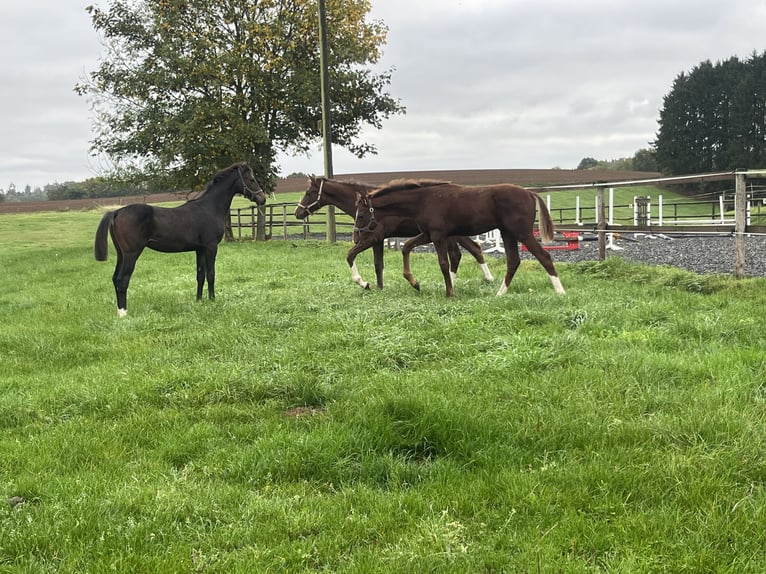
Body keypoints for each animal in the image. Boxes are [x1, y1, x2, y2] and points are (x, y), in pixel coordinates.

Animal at [94, 162, 267, 316]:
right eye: (251, 179)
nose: (262, 198)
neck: (209, 207)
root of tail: (116, 212)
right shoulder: (211, 247)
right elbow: (211, 274)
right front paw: (212, 300)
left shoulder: (200, 250)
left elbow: (200, 275)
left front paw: (199, 301)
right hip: (131, 254)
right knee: (122, 280)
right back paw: (124, 313)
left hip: (121, 255)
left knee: (115, 279)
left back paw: (119, 311)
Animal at [294, 175, 493, 289]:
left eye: (309, 192)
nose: (298, 212)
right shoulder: (377, 240)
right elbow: (377, 265)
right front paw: (379, 288)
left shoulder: (372, 238)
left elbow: (351, 255)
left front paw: (363, 283)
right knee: (472, 250)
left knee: (460, 254)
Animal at [353, 180, 565, 298]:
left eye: (361, 215)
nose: (356, 236)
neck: (424, 200)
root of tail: (529, 192)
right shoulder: (428, 234)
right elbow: (406, 247)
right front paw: (414, 282)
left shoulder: (438, 235)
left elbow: (443, 264)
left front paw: (449, 293)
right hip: (507, 233)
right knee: (513, 261)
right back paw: (499, 294)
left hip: (521, 233)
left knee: (544, 257)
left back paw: (560, 292)